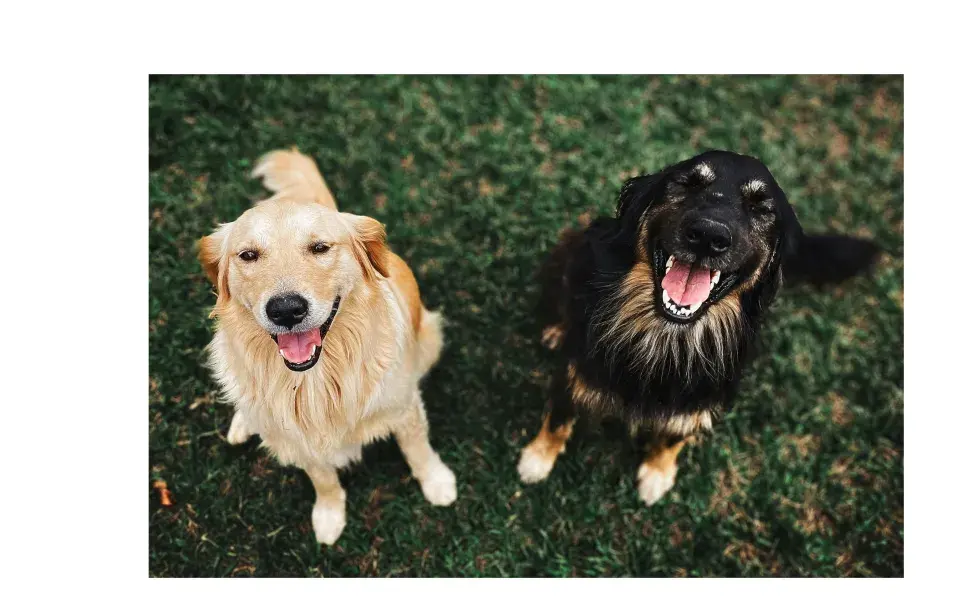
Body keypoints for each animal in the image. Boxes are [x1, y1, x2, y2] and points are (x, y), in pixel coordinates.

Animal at [199, 149, 462, 544]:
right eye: (247, 255)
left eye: (320, 248)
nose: (286, 309)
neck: (316, 380)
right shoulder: (302, 441)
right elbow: (323, 479)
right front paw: (328, 515)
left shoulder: (404, 408)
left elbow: (418, 450)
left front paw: (437, 482)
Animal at [524, 151, 880, 506]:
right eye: (689, 184)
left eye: (759, 207)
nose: (709, 237)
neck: (666, 334)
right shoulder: (574, 371)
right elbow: (557, 419)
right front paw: (536, 460)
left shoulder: (701, 399)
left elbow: (673, 437)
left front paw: (657, 475)